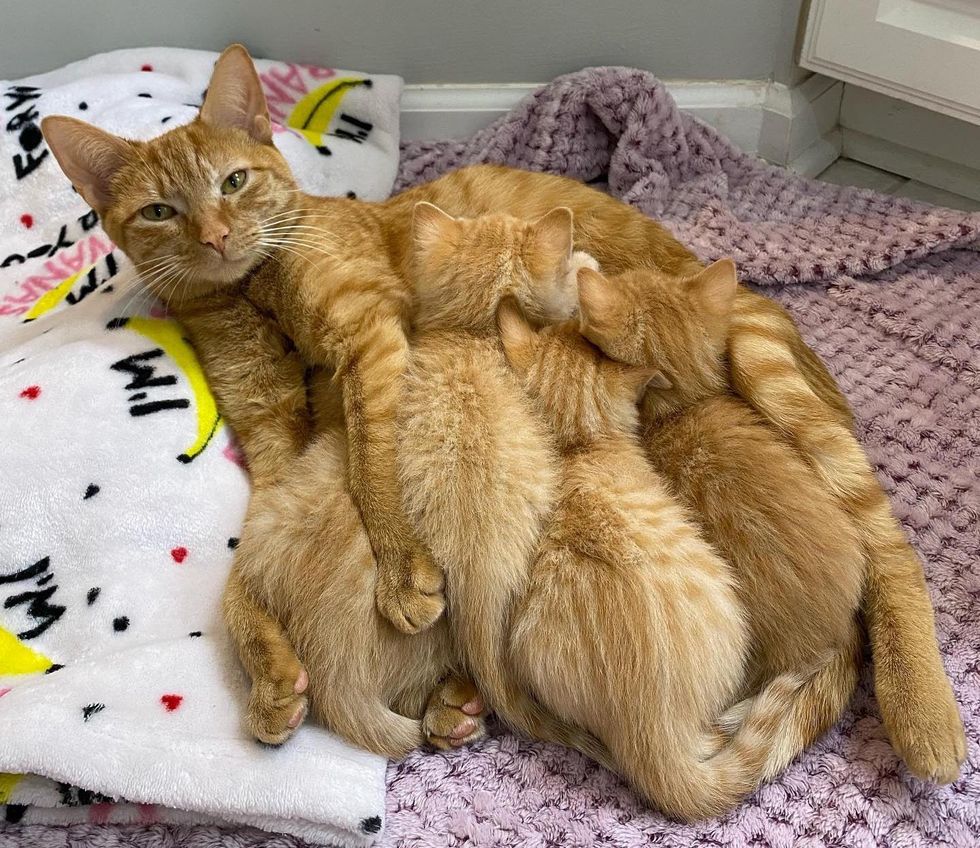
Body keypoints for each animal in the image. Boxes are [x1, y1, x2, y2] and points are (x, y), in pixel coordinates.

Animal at [40, 41, 964, 780]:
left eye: (234, 182)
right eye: (161, 211)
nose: (216, 236)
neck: (255, 296)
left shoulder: (374, 340)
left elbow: (374, 462)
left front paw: (401, 572)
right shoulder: (272, 446)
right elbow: (238, 580)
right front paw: (269, 673)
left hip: (777, 379)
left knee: (888, 551)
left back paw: (925, 717)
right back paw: (453, 698)